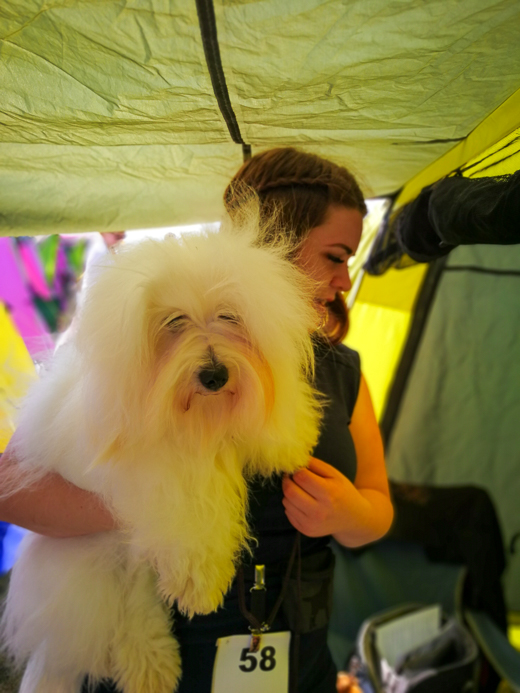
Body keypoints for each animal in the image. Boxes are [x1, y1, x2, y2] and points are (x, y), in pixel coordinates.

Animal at [3, 216, 320, 692]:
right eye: (175, 321)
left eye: (229, 315)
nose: (214, 374)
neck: (200, 421)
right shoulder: (163, 475)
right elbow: (195, 512)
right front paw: (202, 586)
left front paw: (290, 439)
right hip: (96, 563)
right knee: (130, 605)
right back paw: (150, 663)